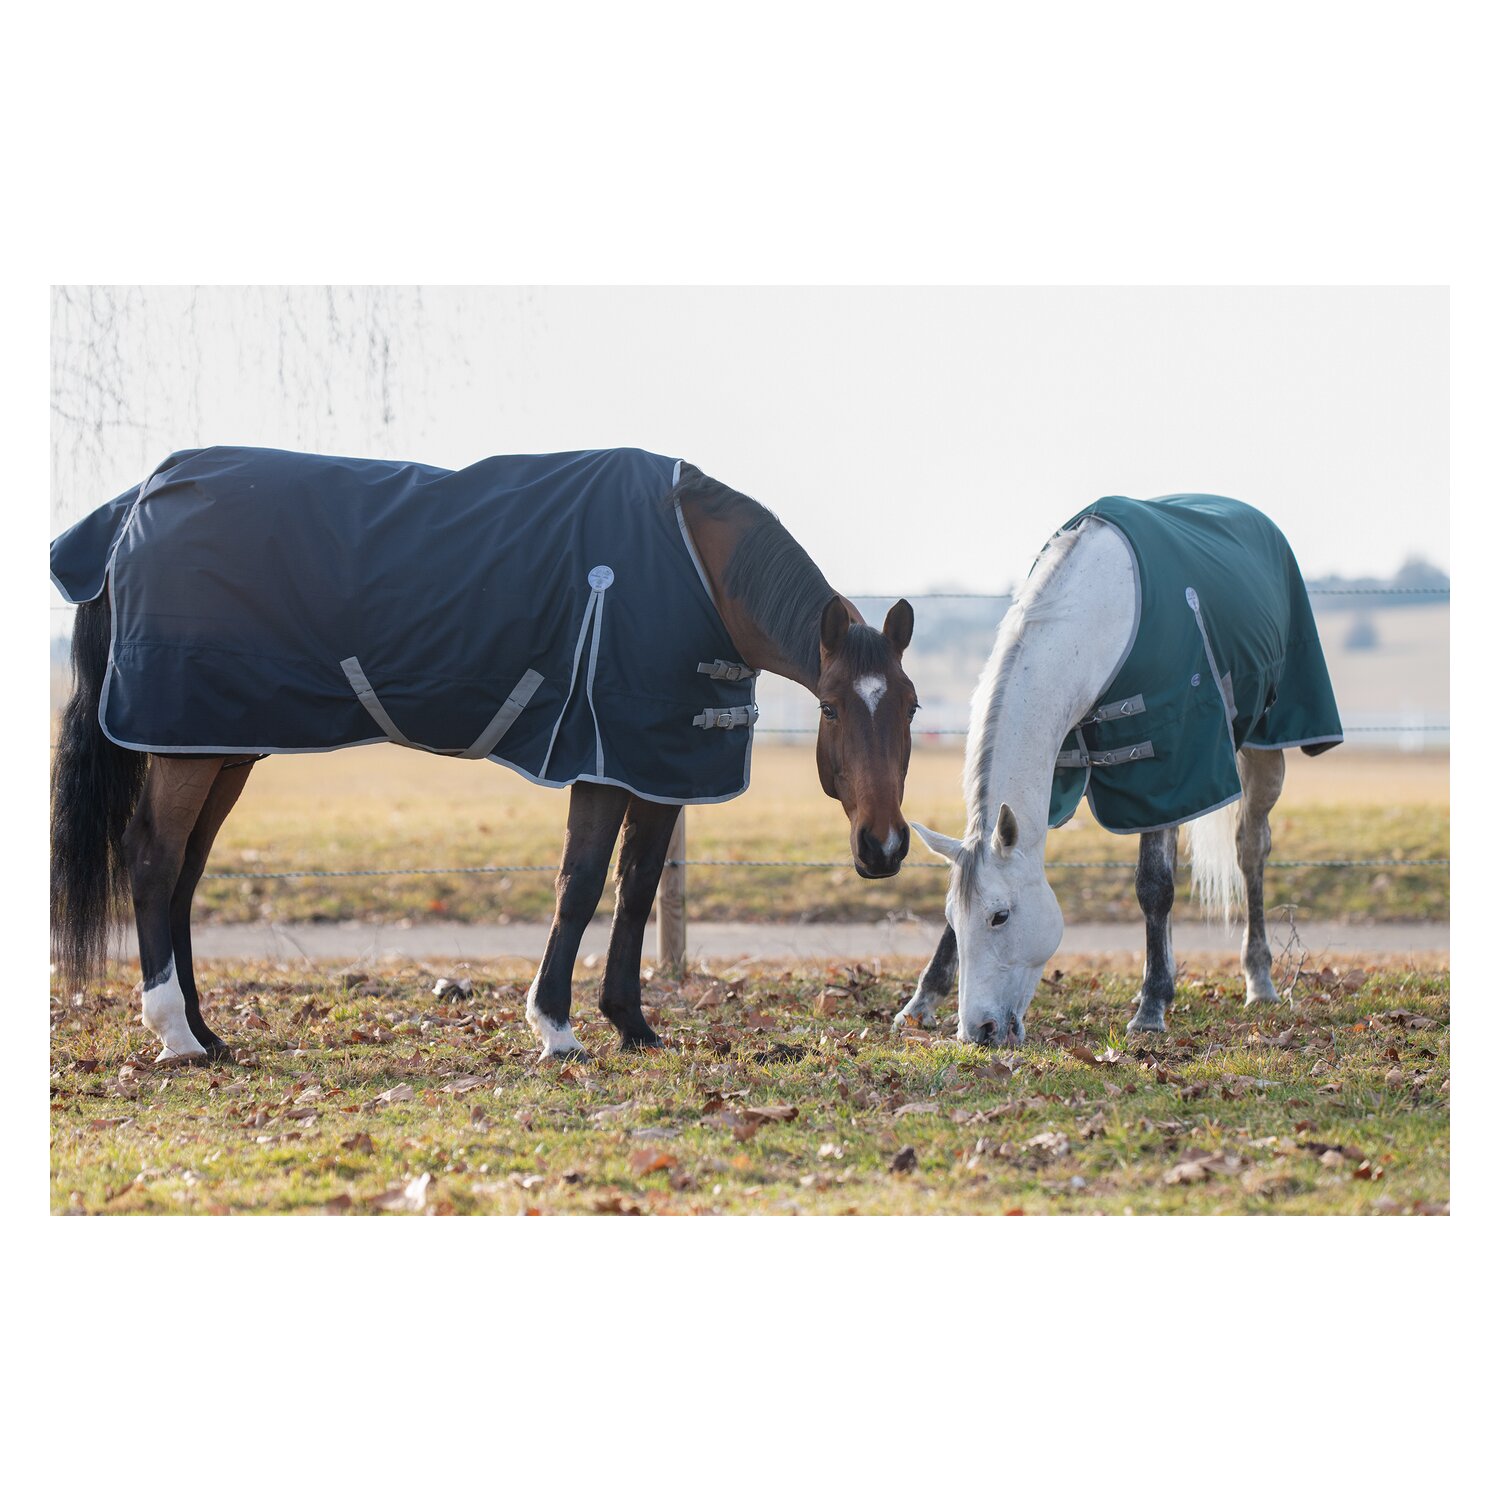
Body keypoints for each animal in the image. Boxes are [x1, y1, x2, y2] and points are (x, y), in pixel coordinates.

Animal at [50, 446, 920, 1062]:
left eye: (910, 707)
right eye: (833, 707)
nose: (883, 848)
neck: (696, 566)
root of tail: (132, 508)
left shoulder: (661, 762)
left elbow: (636, 888)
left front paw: (633, 1026)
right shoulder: (601, 757)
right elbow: (580, 883)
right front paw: (557, 1028)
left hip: (220, 744)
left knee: (186, 874)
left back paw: (210, 1032)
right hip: (186, 747)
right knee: (153, 858)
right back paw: (176, 1035)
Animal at [893, 493, 1342, 1044]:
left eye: (1001, 916)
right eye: (954, 920)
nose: (979, 1031)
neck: (1097, 621)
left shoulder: (1167, 765)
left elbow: (1154, 886)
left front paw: (1150, 1009)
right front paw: (921, 1000)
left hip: (1262, 746)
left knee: (1250, 848)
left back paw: (1258, 979)